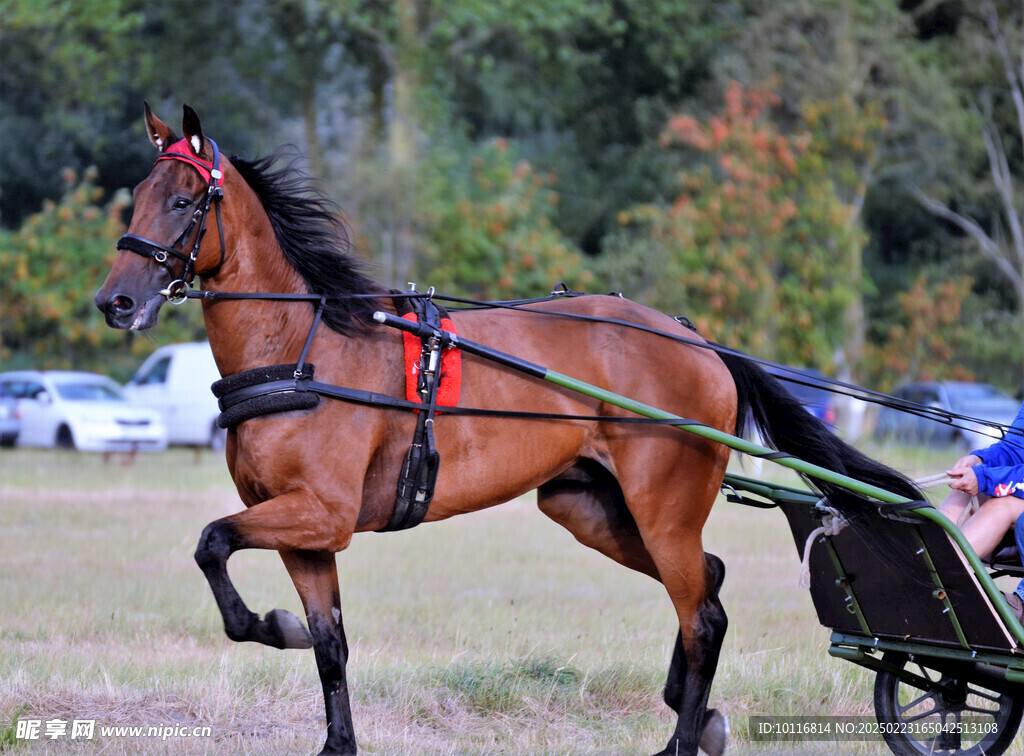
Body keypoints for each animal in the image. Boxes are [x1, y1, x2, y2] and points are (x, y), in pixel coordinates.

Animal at [95, 104, 921, 756]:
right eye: (136, 199)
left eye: (183, 200)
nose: (116, 302)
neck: (304, 350)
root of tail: (698, 341)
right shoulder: (306, 533)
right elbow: (327, 643)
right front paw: (315, 690)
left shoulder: (319, 513)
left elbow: (212, 541)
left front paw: (269, 623)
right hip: (588, 507)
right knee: (707, 581)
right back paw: (692, 712)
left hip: (663, 510)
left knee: (704, 617)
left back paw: (681, 741)